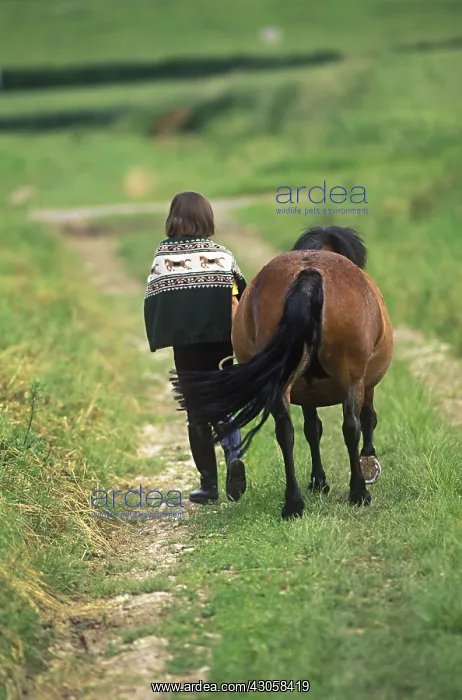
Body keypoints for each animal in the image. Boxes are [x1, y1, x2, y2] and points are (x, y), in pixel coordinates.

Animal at [171, 226, 393, 519]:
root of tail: (309, 275)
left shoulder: (309, 391)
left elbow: (312, 429)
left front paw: (318, 481)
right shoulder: (365, 385)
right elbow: (367, 419)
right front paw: (367, 466)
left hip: (283, 384)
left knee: (285, 432)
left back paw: (293, 503)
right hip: (352, 379)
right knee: (351, 427)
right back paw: (358, 493)